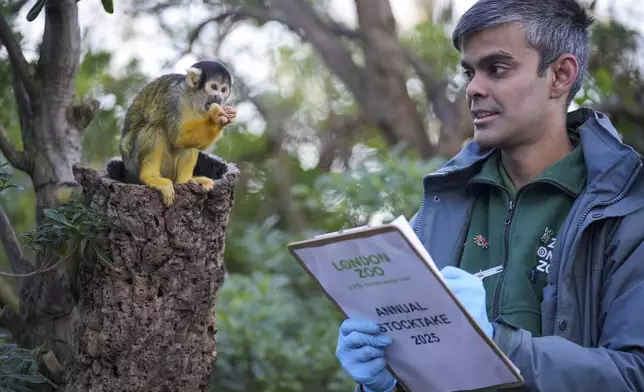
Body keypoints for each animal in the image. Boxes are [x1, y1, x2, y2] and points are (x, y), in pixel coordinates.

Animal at [118, 60, 236, 207]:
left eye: (223, 90)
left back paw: (185, 181)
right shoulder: (175, 99)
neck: (193, 99)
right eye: (214, 87)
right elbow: (179, 136)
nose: (219, 97)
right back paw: (151, 177)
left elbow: (187, 140)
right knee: (155, 128)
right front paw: (216, 117)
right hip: (134, 163)